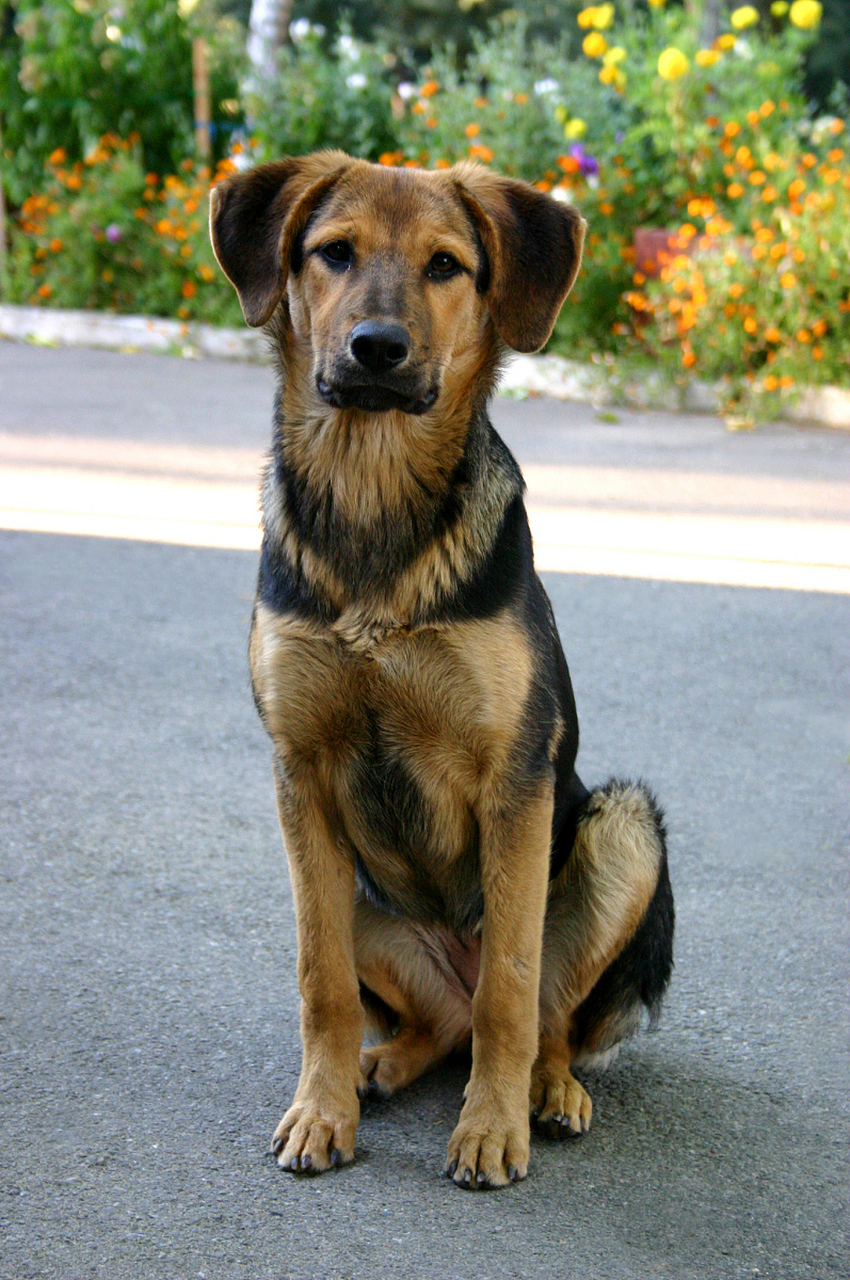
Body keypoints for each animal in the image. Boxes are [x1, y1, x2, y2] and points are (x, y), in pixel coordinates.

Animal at [208, 152, 675, 1187]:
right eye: (333, 253)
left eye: (447, 266)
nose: (377, 349)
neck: (374, 494)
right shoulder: (300, 774)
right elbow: (320, 982)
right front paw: (321, 1110)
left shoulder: (516, 781)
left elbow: (511, 984)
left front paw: (490, 1129)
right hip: (356, 892)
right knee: (433, 1021)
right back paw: (382, 1065)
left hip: (622, 830)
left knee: (537, 1015)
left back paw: (546, 1091)